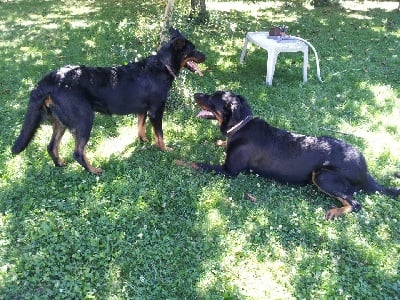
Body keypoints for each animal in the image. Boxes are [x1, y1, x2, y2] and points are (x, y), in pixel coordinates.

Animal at [11, 28, 206, 173]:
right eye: (192, 49)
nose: (206, 57)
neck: (162, 65)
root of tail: (51, 78)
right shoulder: (156, 110)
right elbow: (160, 134)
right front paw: (165, 149)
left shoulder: (142, 110)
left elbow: (141, 127)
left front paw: (143, 141)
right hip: (83, 119)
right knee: (78, 152)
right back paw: (93, 170)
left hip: (60, 121)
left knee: (52, 147)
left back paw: (60, 164)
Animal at [178, 90, 400, 219]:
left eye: (212, 98)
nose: (195, 93)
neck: (241, 126)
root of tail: (365, 169)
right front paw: (215, 141)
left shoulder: (229, 171)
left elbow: (198, 163)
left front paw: (179, 159)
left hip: (323, 175)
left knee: (355, 203)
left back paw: (335, 211)